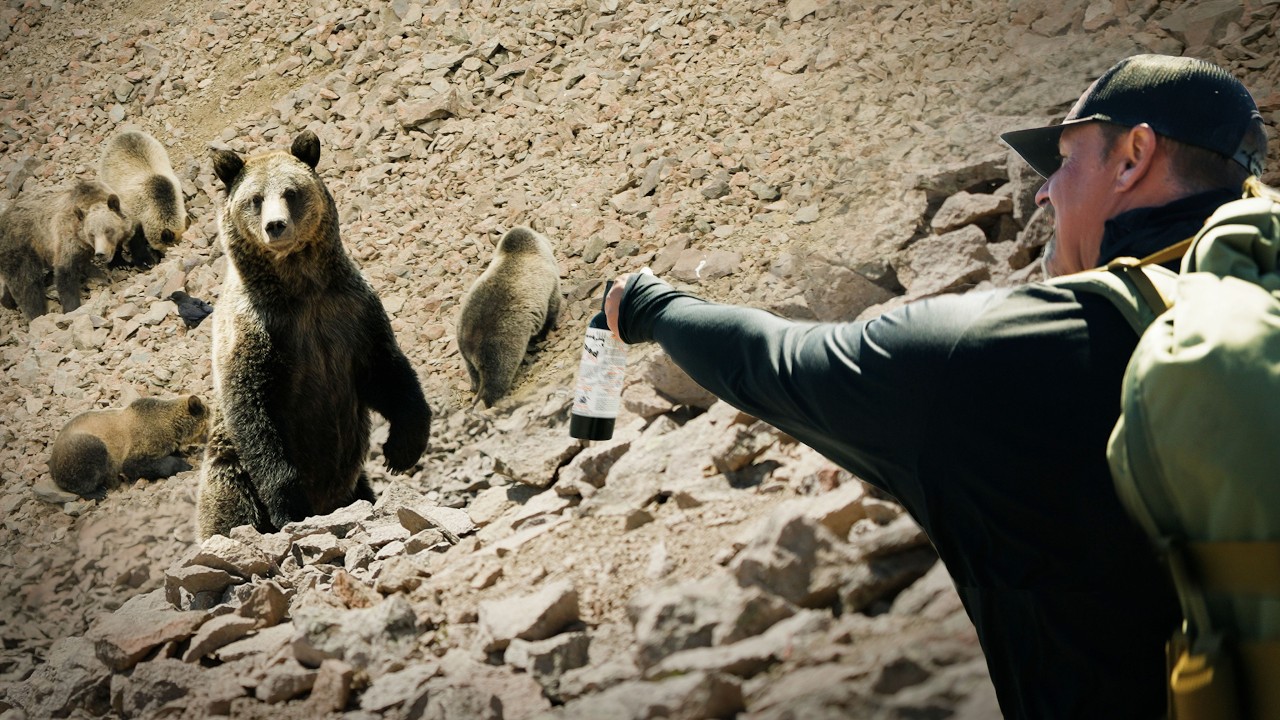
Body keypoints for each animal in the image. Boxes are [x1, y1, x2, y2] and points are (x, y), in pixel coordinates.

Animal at [0, 179, 131, 321]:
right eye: (91, 234)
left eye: (108, 230)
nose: (100, 253)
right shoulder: (66, 236)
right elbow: (66, 273)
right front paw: (72, 308)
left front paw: (119, 265)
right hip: (20, 242)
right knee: (25, 281)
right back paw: (36, 313)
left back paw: (8, 301)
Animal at [48, 395, 209, 499]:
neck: (174, 426)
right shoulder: (145, 439)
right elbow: (133, 465)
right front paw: (184, 465)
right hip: (80, 447)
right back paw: (97, 492)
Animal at [98, 128, 188, 269]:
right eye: (165, 249)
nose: (163, 257)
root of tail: (123, 134)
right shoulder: (132, 211)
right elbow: (133, 237)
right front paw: (145, 261)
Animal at [196, 130, 432, 540]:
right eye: (255, 199)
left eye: (291, 192)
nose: (275, 225)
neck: (301, 289)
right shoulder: (256, 330)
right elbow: (254, 408)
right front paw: (289, 503)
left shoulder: (350, 313)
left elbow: (386, 371)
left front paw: (401, 450)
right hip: (228, 470)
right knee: (231, 506)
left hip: (355, 485)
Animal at [456, 226, 561, 407]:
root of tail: (470, 343)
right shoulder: (549, 283)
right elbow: (552, 307)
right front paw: (544, 333)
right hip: (499, 350)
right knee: (496, 379)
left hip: (465, 352)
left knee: (474, 375)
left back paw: (474, 387)